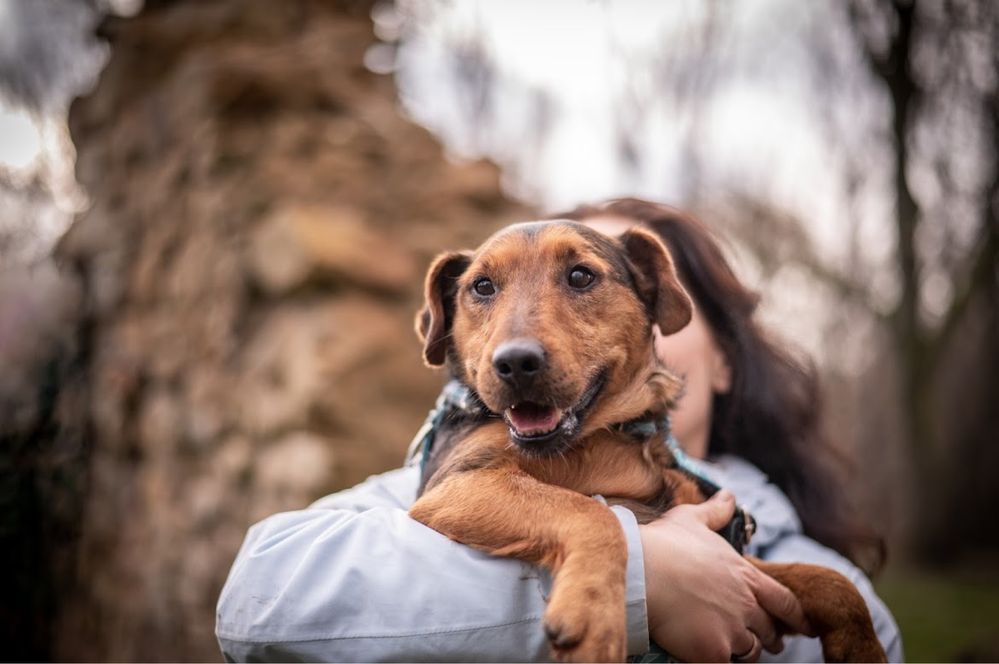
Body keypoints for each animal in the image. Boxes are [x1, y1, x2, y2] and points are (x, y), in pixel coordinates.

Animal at [410, 222, 888, 664]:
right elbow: (591, 513)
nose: (514, 362)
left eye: (580, 276)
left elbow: (832, 582)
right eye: (482, 286)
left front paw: (864, 650)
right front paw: (595, 619)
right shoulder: (456, 485)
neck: (607, 436)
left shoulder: (732, 552)